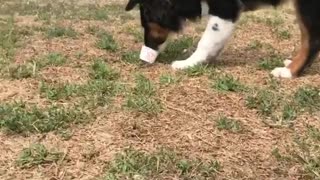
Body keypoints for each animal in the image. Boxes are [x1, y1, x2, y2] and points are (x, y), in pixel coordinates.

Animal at [125, 0, 320, 79]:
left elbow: (205, 41)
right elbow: (215, 42)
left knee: (311, 40)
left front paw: (188, 63)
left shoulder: (225, 9)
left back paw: (289, 72)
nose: (146, 50)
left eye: (146, 21)